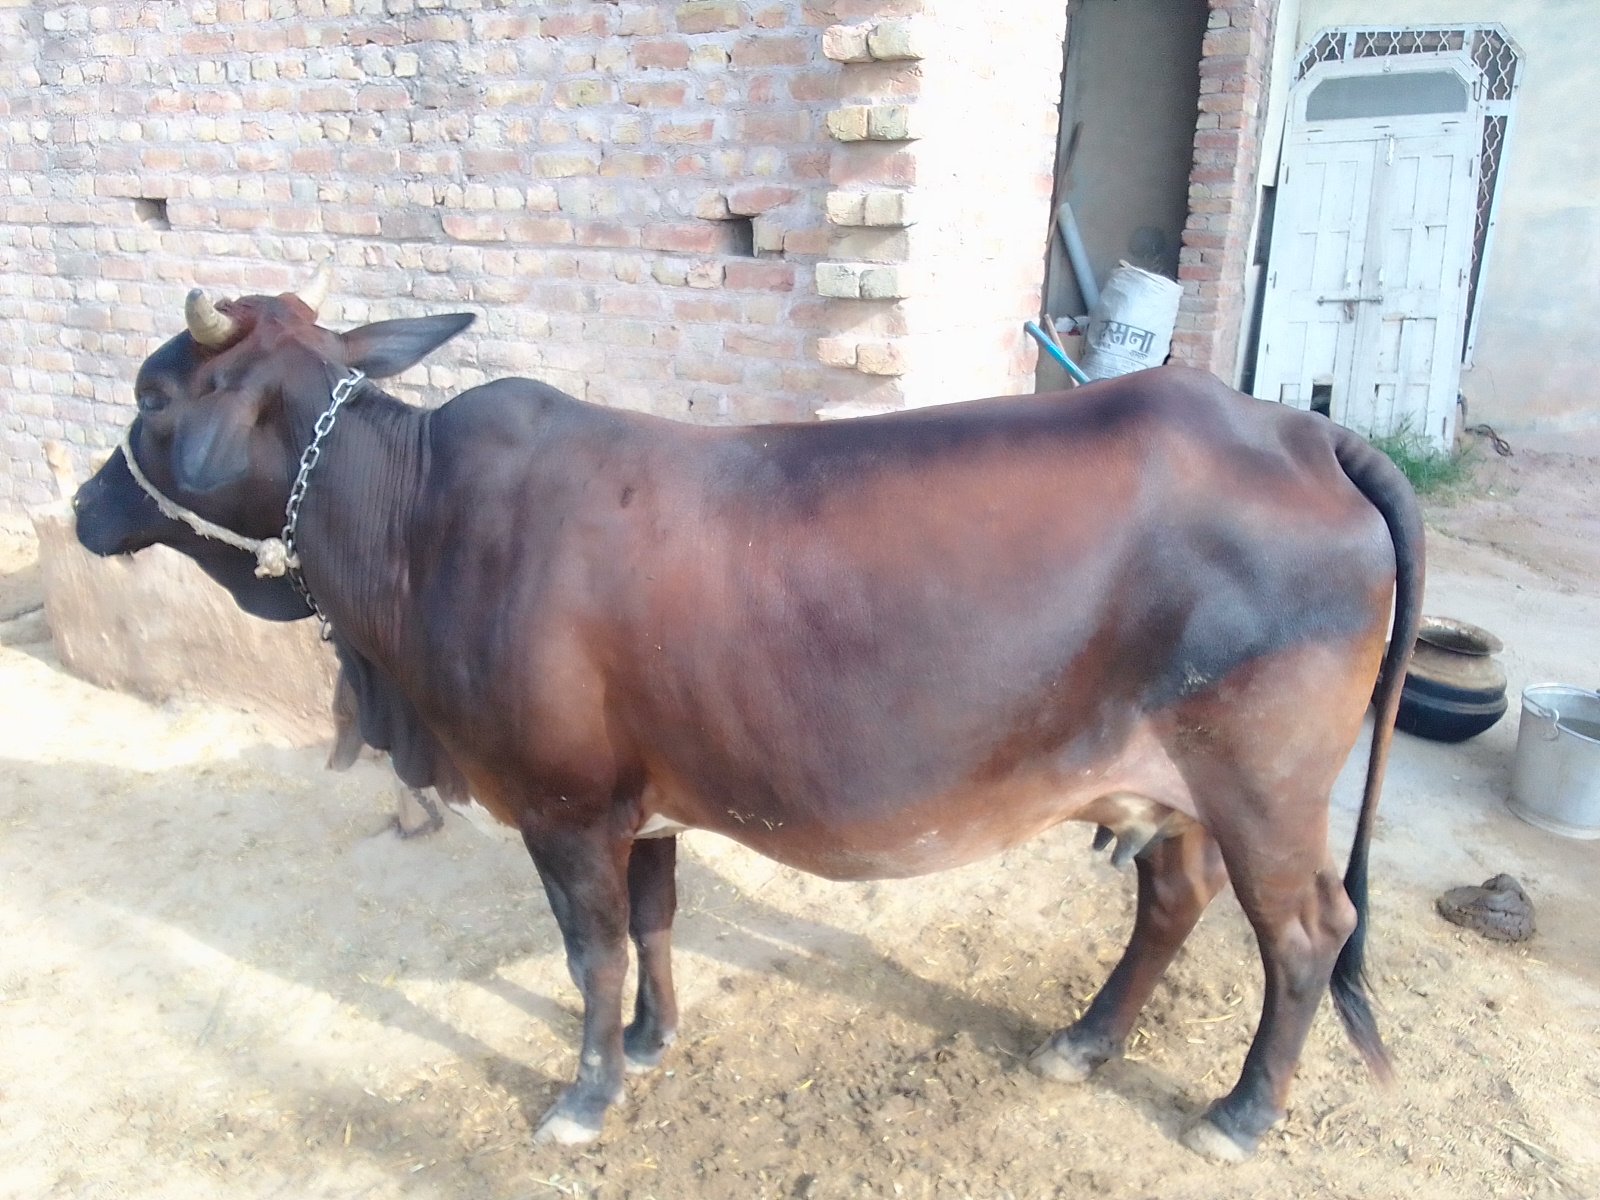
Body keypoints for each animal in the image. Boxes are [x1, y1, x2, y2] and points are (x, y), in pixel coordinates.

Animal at [72, 275, 1423, 1163]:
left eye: (151, 395)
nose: (85, 508)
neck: (412, 523)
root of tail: (1306, 430)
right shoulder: (643, 805)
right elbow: (655, 925)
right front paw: (652, 1042)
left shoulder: (562, 808)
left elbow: (594, 954)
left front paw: (585, 1095)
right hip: (1173, 785)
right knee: (1175, 900)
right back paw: (1084, 1041)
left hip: (1265, 784)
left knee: (1308, 933)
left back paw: (1240, 1115)